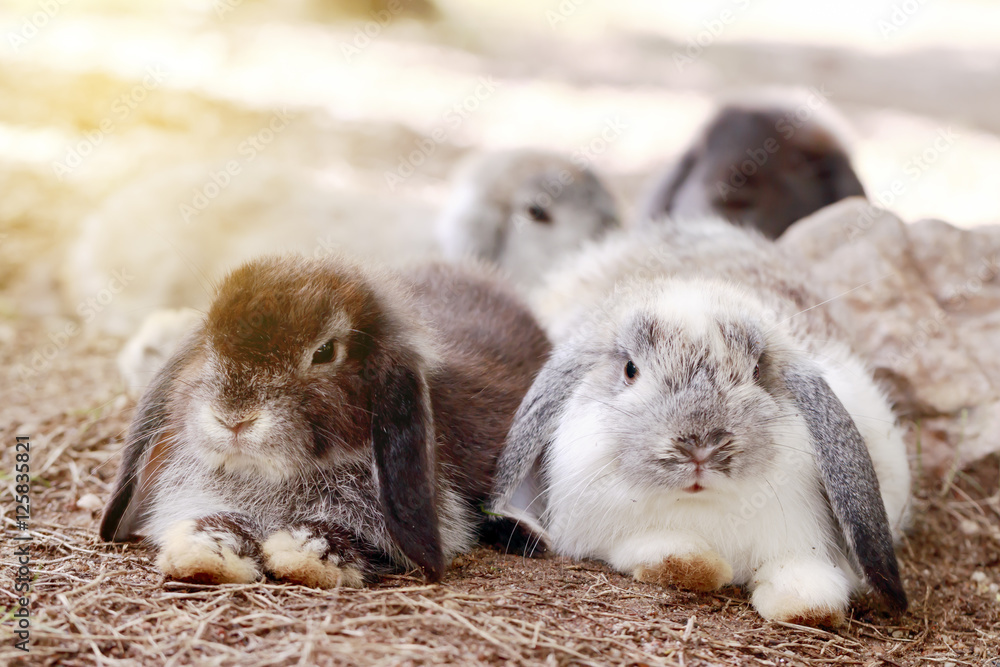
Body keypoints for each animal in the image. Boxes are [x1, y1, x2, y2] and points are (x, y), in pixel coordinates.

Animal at [491, 218, 911, 626]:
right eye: (630, 370)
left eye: (756, 371)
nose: (700, 445)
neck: (700, 506)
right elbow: (659, 550)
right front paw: (693, 567)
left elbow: (804, 575)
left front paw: (806, 607)